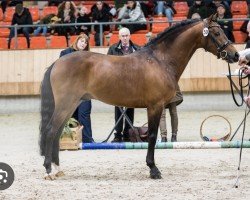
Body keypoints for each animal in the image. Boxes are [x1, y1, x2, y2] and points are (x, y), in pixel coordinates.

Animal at [39, 15, 238, 180]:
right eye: (217, 32)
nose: (235, 55)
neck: (160, 60)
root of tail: (57, 63)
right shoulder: (155, 106)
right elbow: (152, 136)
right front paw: (153, 169)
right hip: (66, 104)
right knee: (51, 131)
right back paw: (48, 171)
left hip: (71, 105)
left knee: (57, 132)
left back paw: (57, 169)